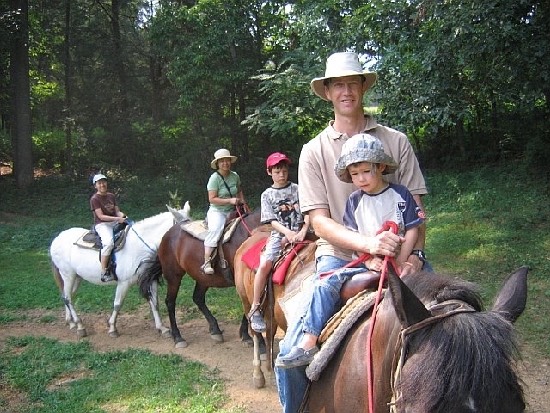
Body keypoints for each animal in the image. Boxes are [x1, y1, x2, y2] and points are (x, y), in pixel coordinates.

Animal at [52, 201, 190, 336]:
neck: (139, 246)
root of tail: (57, 238)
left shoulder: (150, 280)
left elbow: (155, 303)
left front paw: (162, 328)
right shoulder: (124, 283)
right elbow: (118, 304)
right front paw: (112, 328)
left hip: (77, 277)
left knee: (66, 296)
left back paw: (71, 323)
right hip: (68, 275)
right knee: (68, 298)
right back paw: (80, 326)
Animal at [141, 204, 264, 346]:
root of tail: (167, 234)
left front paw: (246, 335)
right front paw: (247, 336)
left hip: (203, 278)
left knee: (197, 298)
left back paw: (215, 330)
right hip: (173, 276)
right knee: (170, 302)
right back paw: (178, 337)